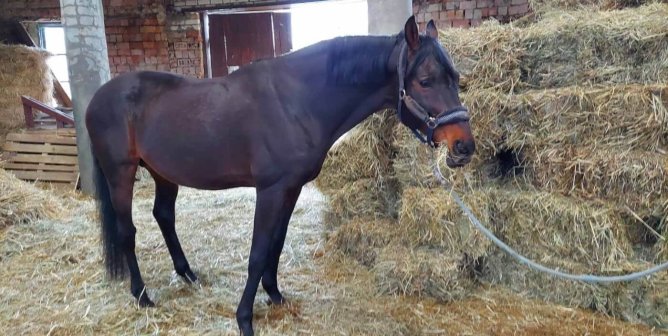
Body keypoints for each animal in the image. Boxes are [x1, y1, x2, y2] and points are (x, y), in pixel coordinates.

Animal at [86, 17, 474, 334]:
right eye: (425, 81)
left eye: (456, 78)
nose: (464, 146)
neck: (297, 101)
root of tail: (97, 98)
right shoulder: (270, 190)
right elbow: (258, 252)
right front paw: (244, 319)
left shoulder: (291, 188)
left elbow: (277, 242)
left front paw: (274, 295)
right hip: (121, 174)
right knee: (127, 232)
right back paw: (141, 295)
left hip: (164, 172)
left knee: (164, 216)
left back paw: (188, 275)